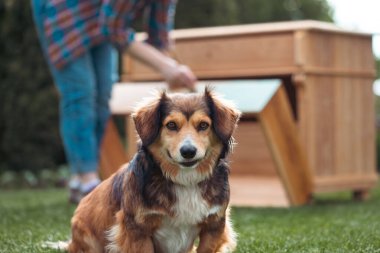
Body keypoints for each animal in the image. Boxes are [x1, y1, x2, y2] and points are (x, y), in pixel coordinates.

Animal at [68, 87, 240, 253]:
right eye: (171, 125)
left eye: (203, 125)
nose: (188, 151)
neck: (185, 180)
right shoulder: (137, 228)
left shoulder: (214, 225)